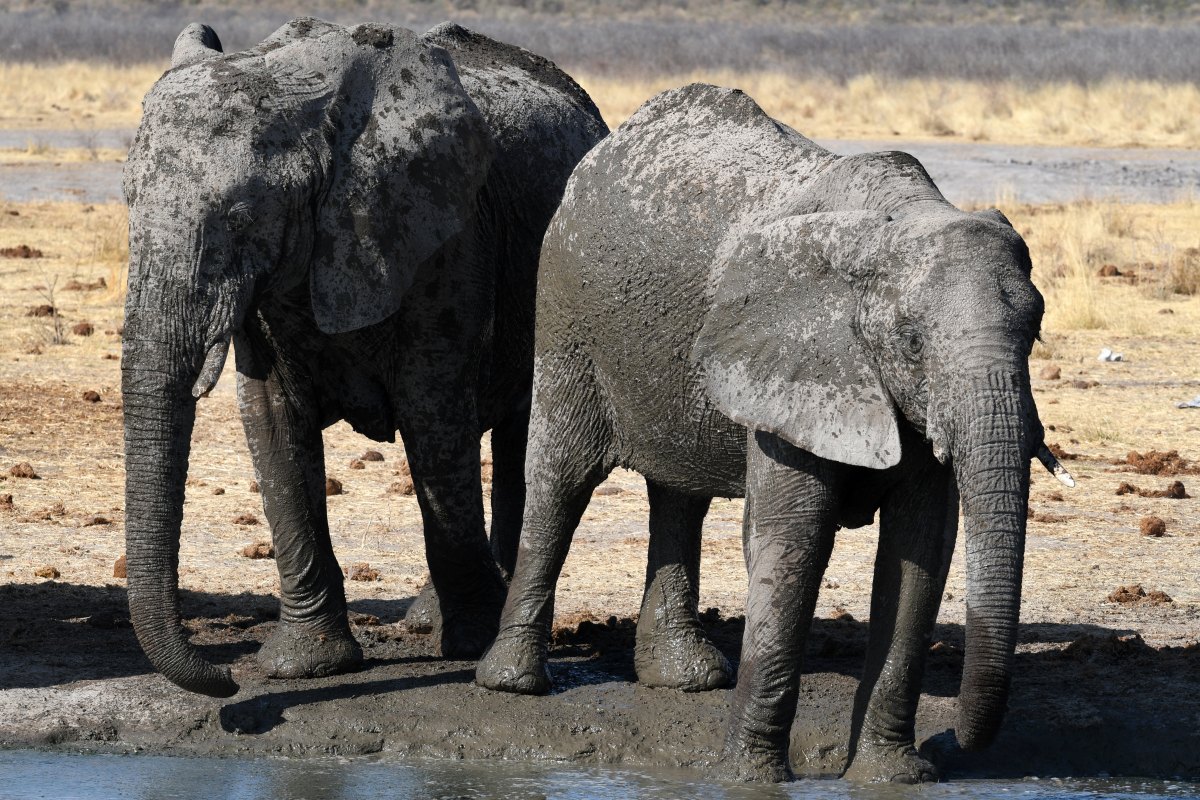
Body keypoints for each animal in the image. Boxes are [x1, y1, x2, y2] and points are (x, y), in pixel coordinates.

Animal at [121, 17, 607, 698]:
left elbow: (433, 417)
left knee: (517, 433)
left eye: (241, 217)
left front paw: (469, 644)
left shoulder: (446, 241)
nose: (228, 679)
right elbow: (272, 422)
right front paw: (305, 665)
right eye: (127, 202)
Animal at [475, 83, 1072, 783]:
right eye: (911, 343)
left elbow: (921, 549)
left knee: (679, 493)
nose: (960, 740)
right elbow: (793, 539)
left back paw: (687, 679)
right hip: (565, 313)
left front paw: (894, 777)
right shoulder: (793, 365)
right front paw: (752, 779)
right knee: (560, 479)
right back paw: (512, 683)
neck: (891, 227)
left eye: (1035, 330)